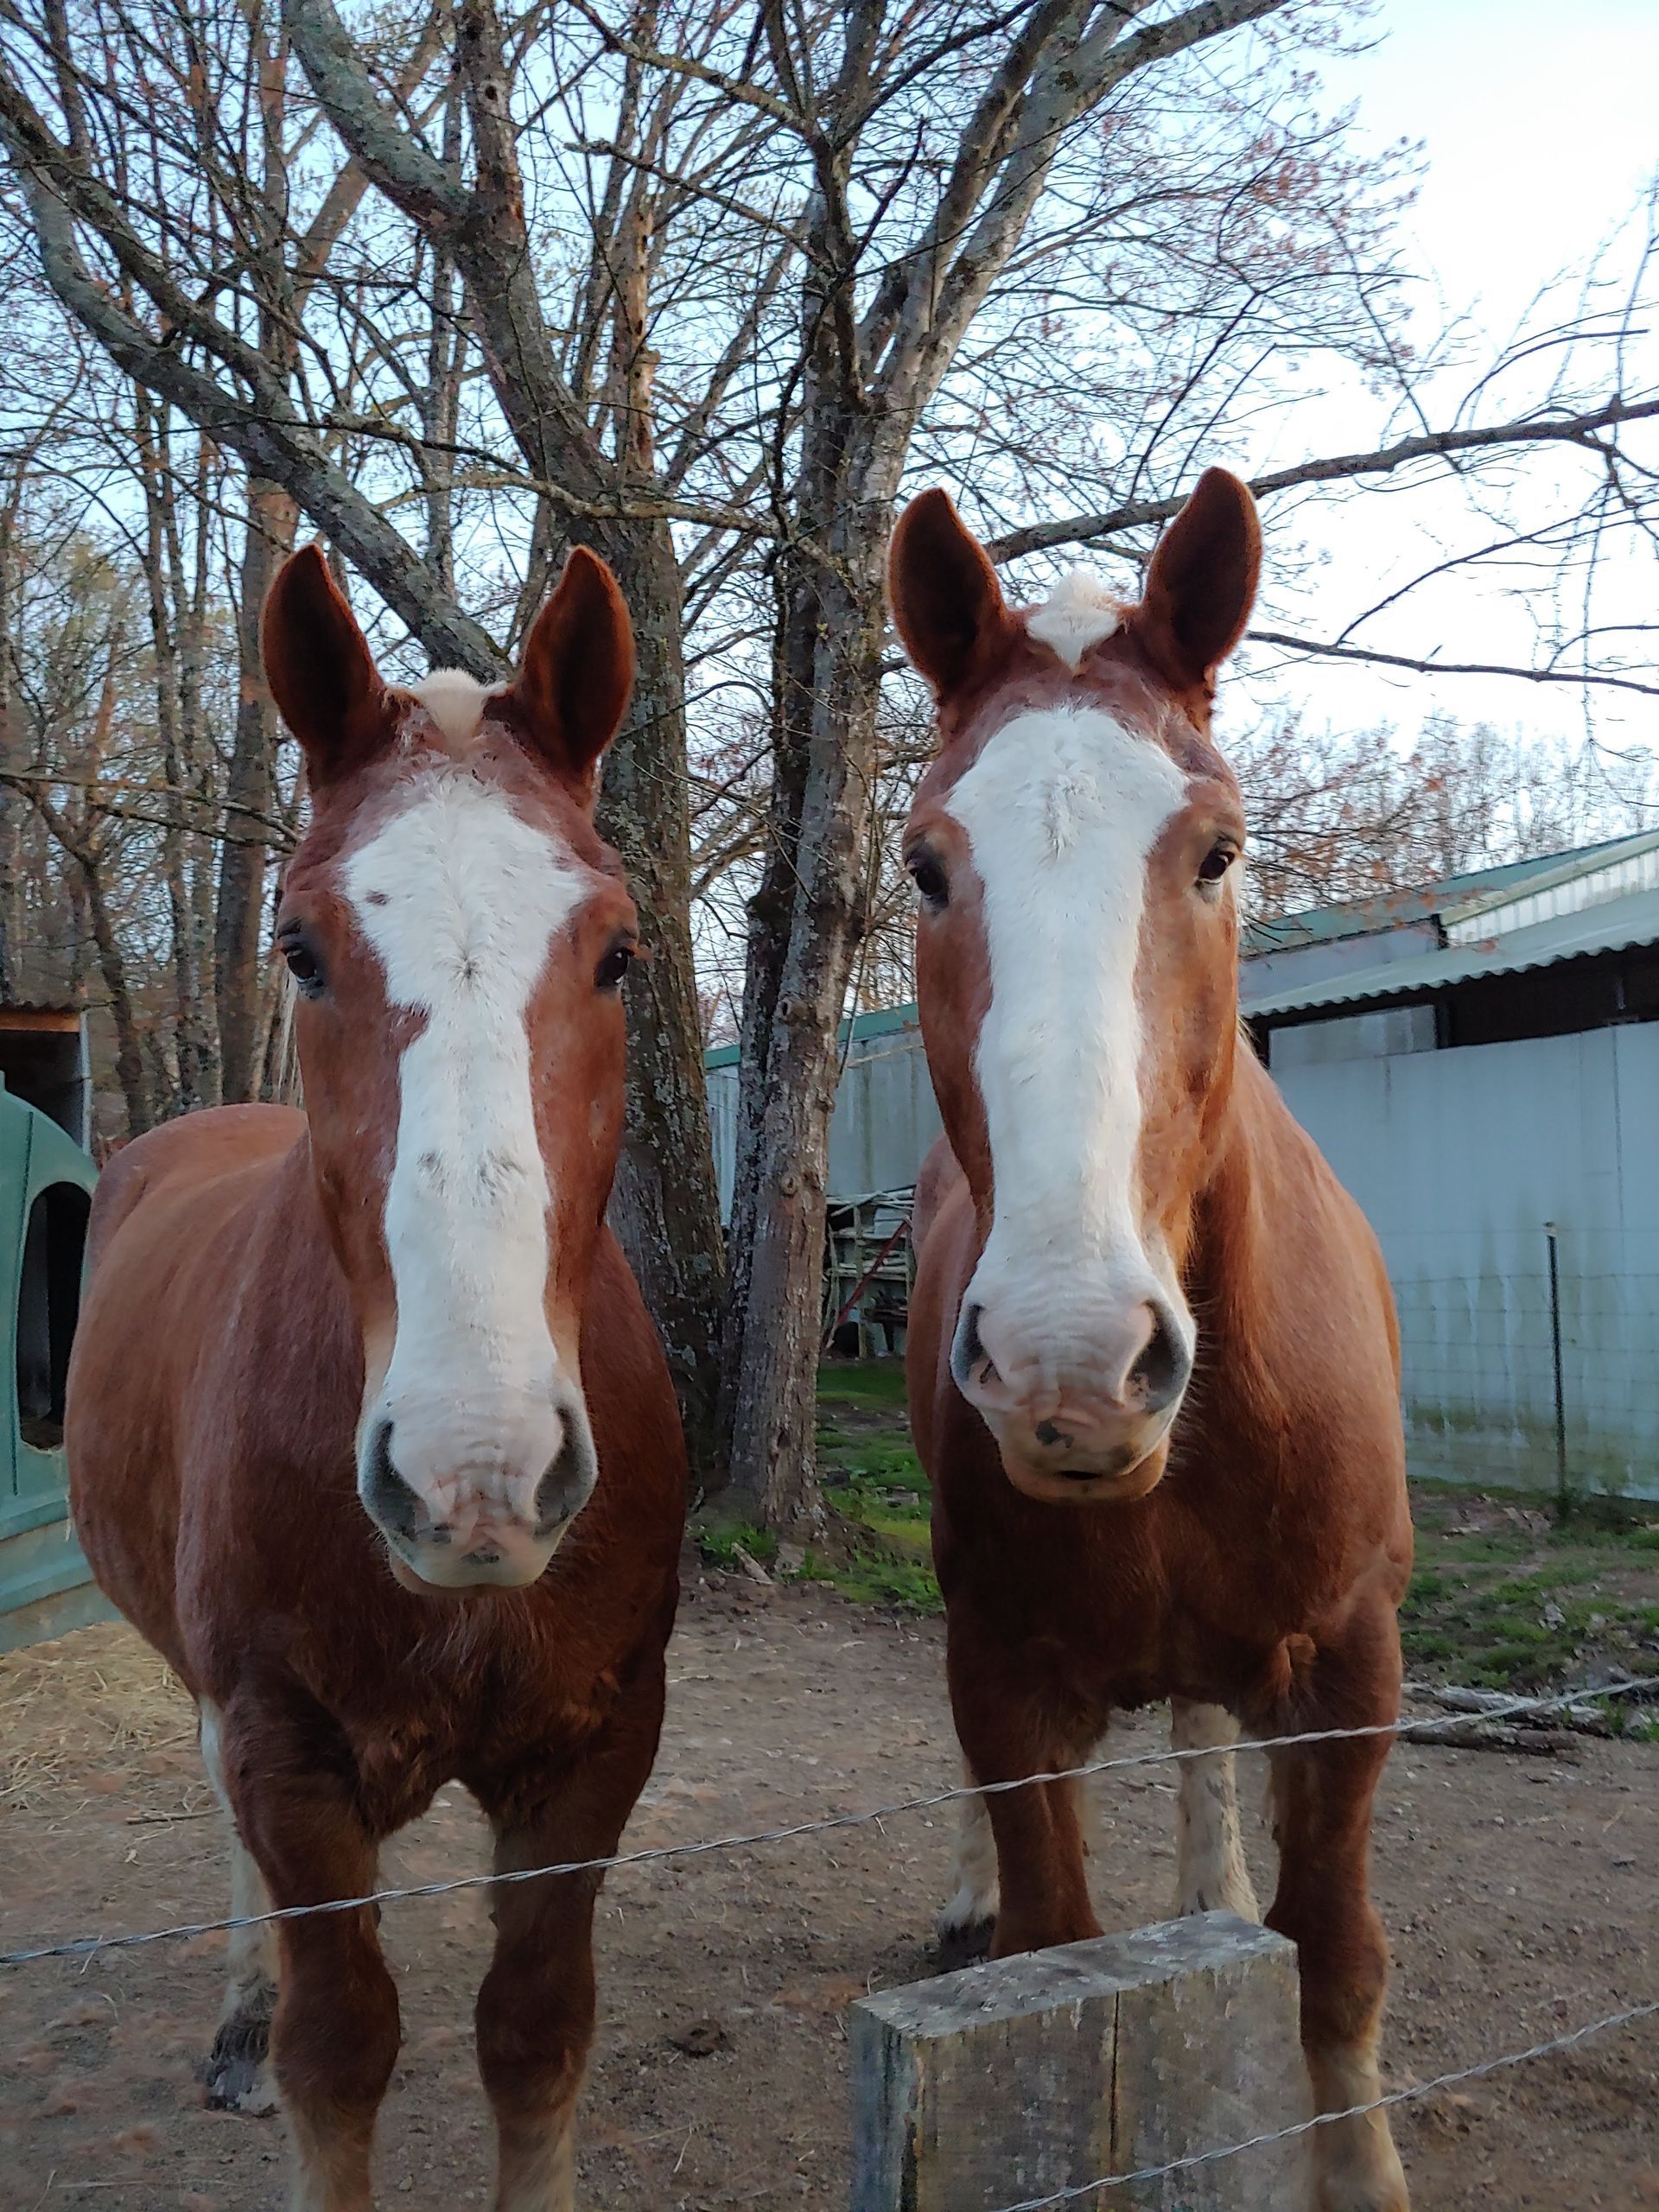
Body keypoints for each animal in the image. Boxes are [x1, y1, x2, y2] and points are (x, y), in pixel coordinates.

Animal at [63, 544, 685, 2212]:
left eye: (618, 953)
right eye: (300, 946)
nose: (475, 1475)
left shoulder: (595, 1751)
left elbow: (536, 2039)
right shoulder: (287, 1753)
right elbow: (335, 2059)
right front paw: (273, 2033)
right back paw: (235, 2015)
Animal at [889, 470, 1414, 2212]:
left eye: (1219, 852)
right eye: (925, 867)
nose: (1071, 1366)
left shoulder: (1351, 1666)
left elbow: (1337, 1963)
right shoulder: (1006, 1678)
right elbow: (1055, 1954)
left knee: (1200, 1745)